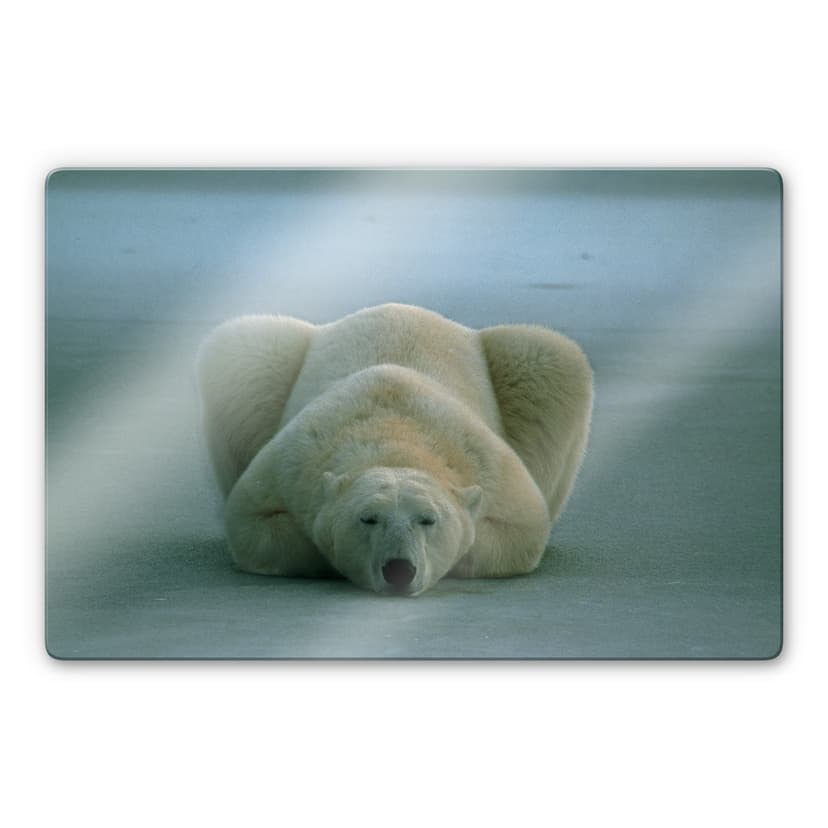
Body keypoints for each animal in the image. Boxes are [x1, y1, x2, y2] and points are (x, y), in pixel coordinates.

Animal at [197, 303, 593, 596]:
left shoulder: (487, 464)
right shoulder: (293, 461)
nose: (399, 570)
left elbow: (522, 530)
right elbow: (250, 522)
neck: (396, 434)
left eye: (428, 519)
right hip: (272, 360)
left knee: (549, 356)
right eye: (368, 518)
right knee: (243, 351)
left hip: (522, 365)